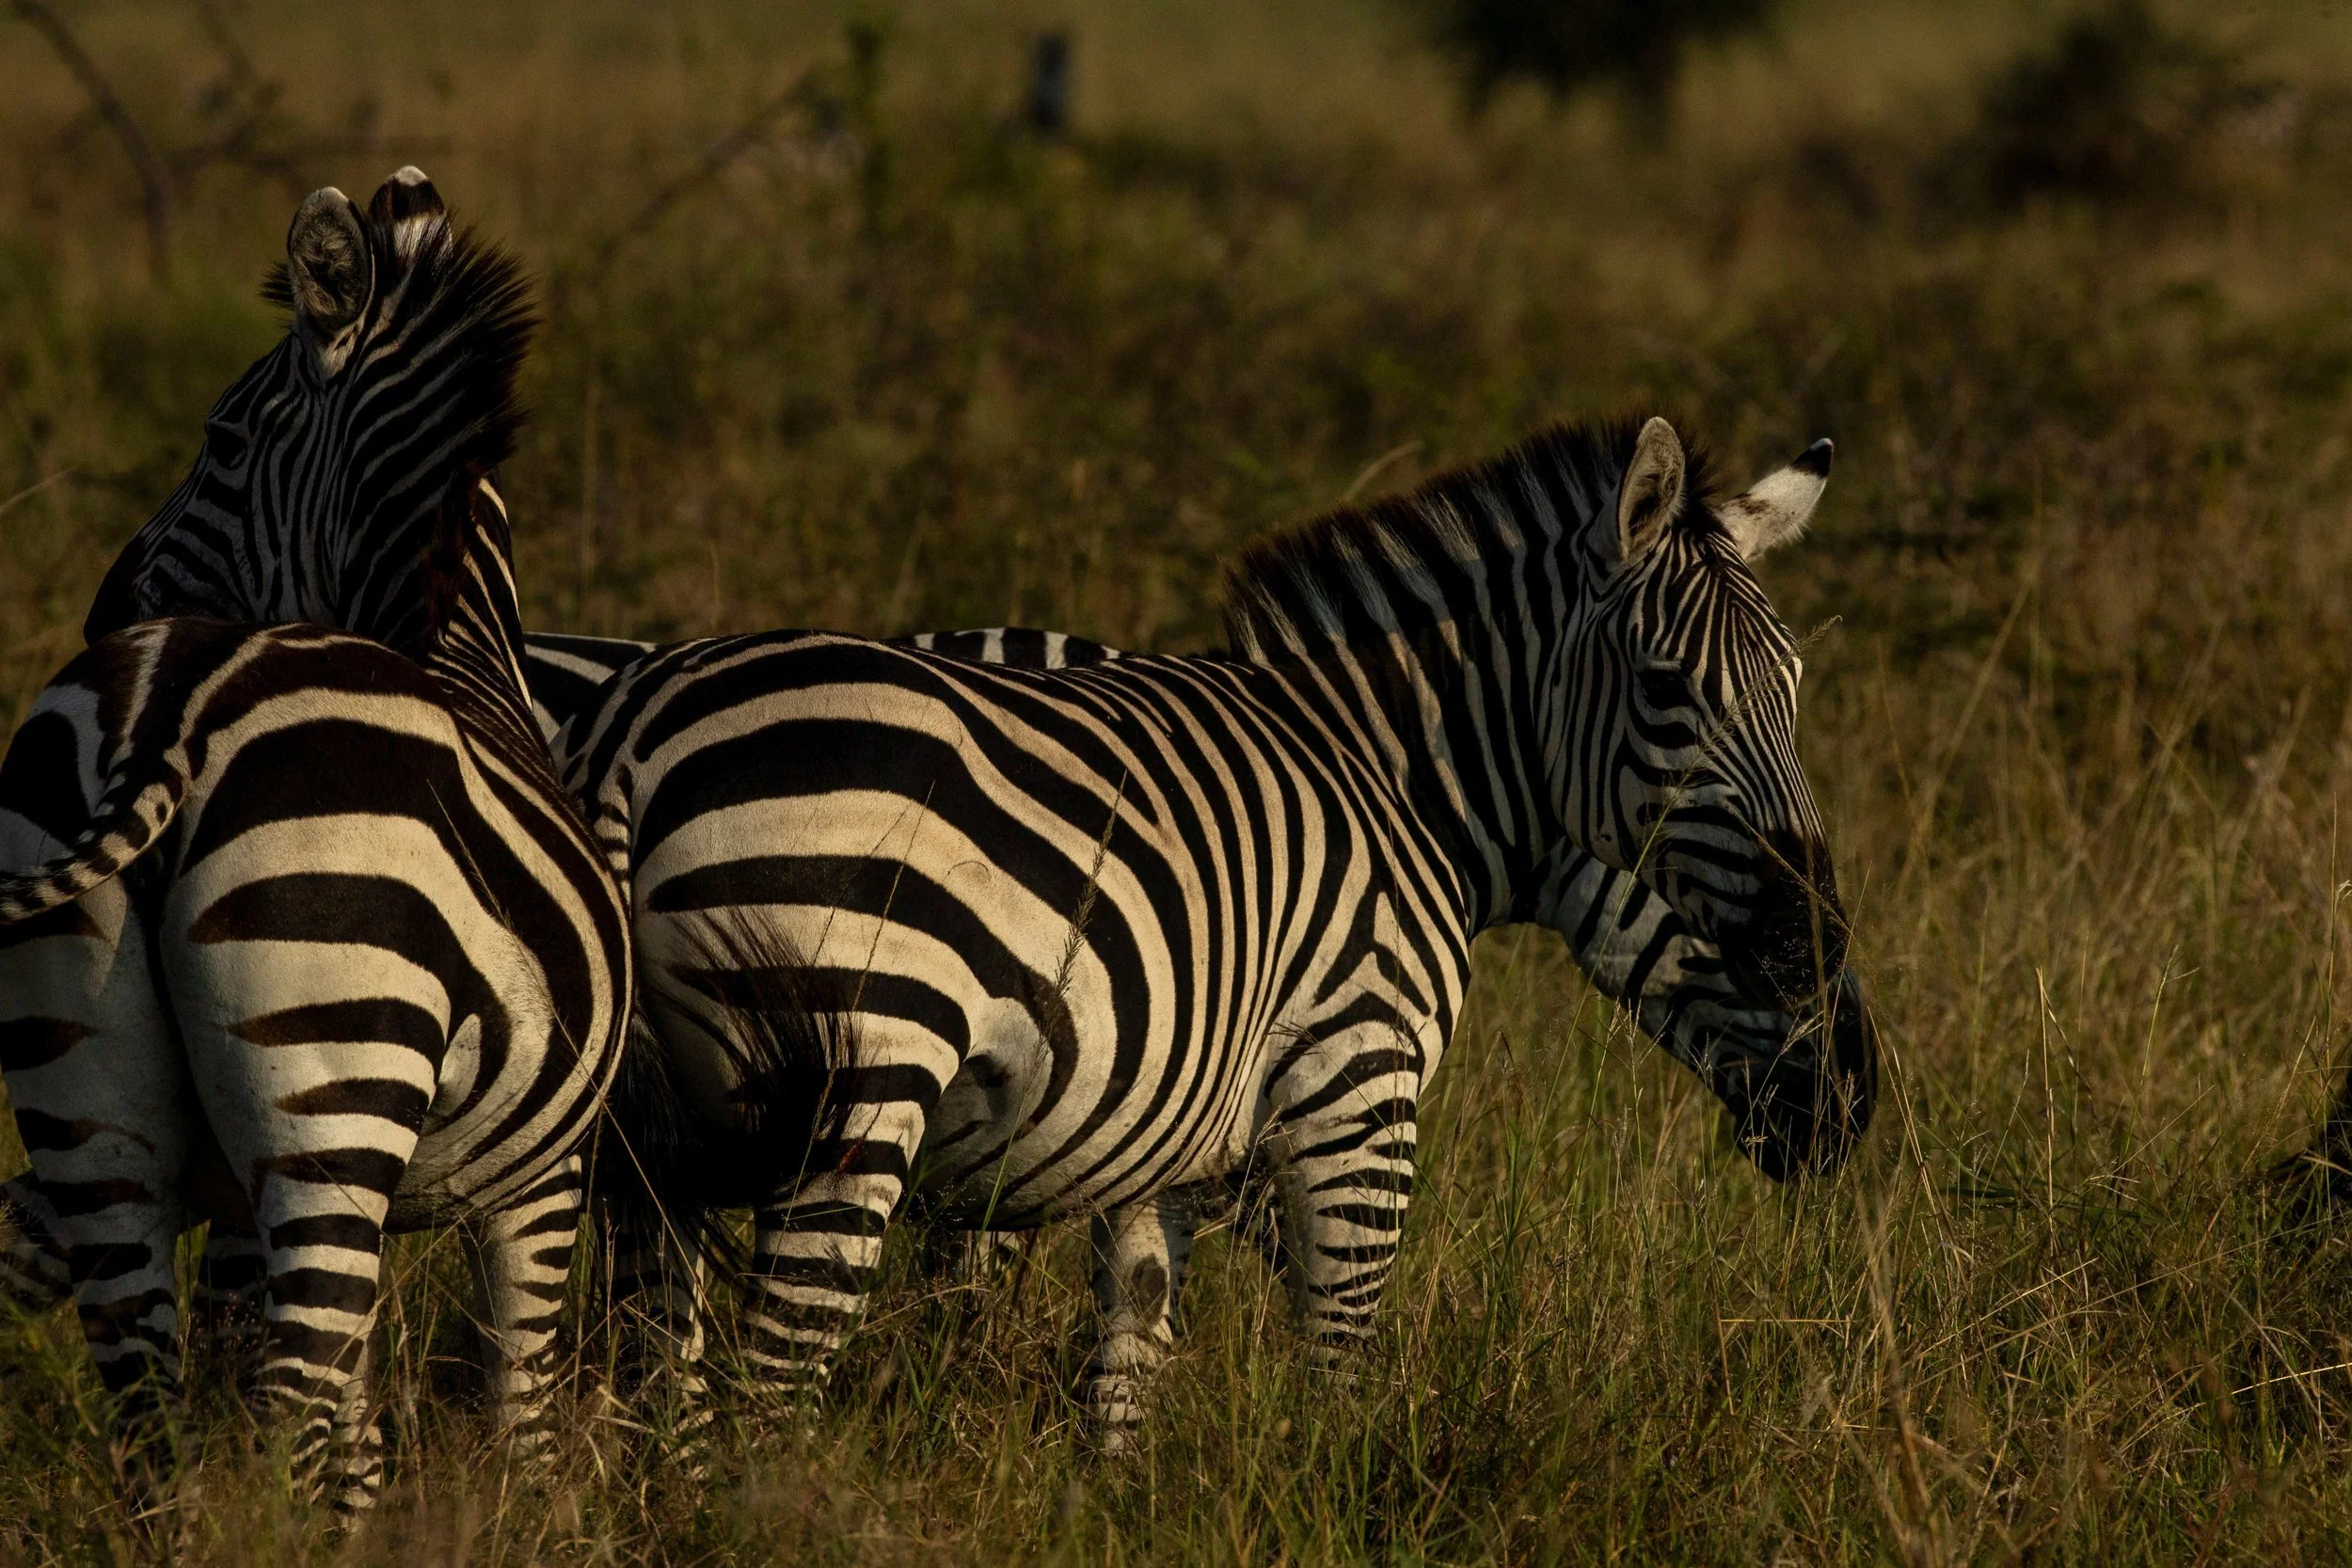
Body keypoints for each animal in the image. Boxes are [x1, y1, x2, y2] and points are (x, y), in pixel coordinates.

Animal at [547, 414, 1871, 1441]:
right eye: (1669, 691)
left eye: (1798, 692)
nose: (1851, 1097)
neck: (1393, 773)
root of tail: (631, 732)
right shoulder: (1358, 1078)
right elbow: (1341, 1358)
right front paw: (1345, 1504)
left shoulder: (1165, 1137)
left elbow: (1128, 1365)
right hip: (859, 1081)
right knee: (770, 1382)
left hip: (668, 1134)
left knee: (661, 1382)